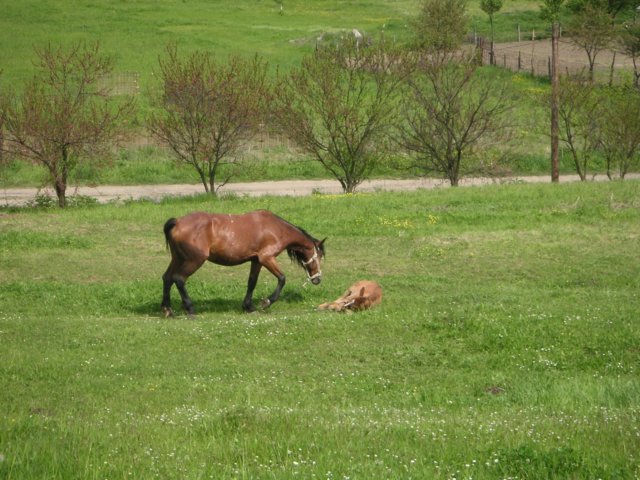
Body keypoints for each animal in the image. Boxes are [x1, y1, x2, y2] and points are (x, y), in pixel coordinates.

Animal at [160, 209, 324, 316]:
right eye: (319, 256)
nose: (317, 279)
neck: (276, 229)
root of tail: (177, 222)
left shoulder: (256, 261)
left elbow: (252, 282)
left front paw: (248, 307)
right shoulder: (266, 258)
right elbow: (282, 278)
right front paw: (267, 302)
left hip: (178, 258)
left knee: (167, 278)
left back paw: (167, 309)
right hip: (194, 260)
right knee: (179, 279)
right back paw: (190, 308)